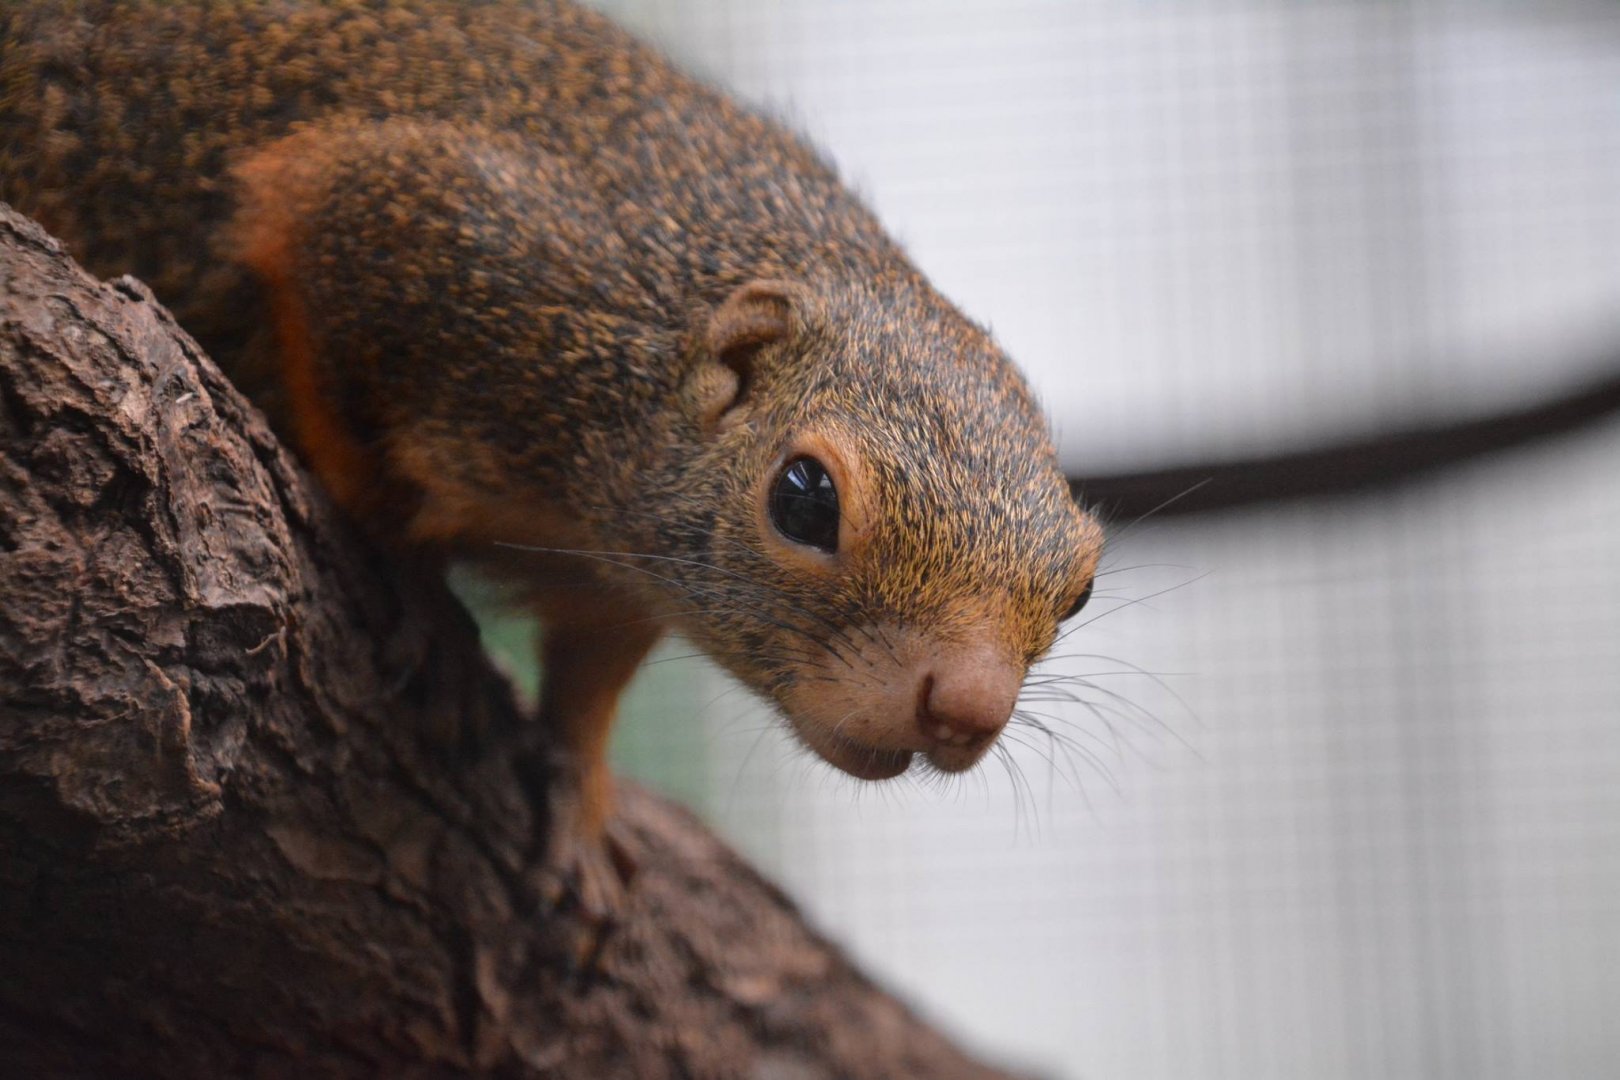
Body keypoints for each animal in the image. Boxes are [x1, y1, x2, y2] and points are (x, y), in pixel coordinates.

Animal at [0, 0, 1104, 915]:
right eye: (803, 498)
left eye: (1081, 591)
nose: (966, 707)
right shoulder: (431, 232)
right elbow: (355, 440)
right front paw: (419, 602)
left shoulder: (622, 575)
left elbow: (589, 678)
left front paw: (578, 805)